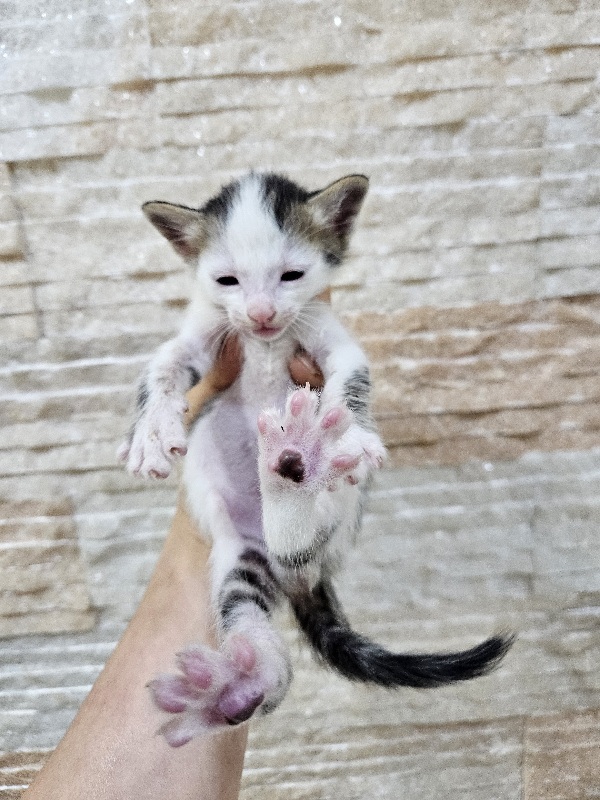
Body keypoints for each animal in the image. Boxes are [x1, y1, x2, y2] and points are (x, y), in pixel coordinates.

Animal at [119, 172, 512, 748]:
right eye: (227, 280)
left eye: (291, 275)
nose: (261, 314)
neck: (265, 343)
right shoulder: (205, 331)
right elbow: (163, 366)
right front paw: (149, 430)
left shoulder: (329, 334)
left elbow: (351, 380)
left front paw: (350, 434)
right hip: (240, 554)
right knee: (258, 602)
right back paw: (238, 685)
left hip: (339, 514)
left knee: (302, 545)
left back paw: (296, 471)